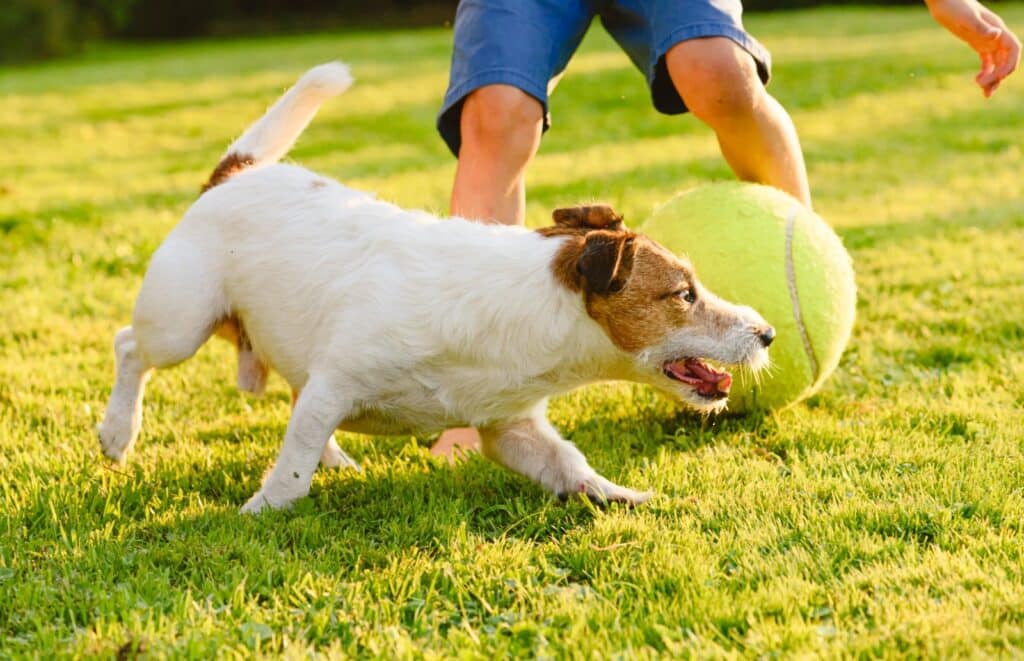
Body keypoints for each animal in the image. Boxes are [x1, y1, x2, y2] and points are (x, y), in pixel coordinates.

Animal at [97, 62, 774, 515]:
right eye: (684, 294)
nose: (767, 332)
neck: (526, 310)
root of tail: (238, 171)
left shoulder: (511, 427)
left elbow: (568, 464)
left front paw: (621, 495)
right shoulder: (338, 382)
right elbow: (291, 471)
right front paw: (263, 512)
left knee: (292, 394)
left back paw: (332, 457)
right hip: (182, 321)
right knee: (130, 345)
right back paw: (117, 433)